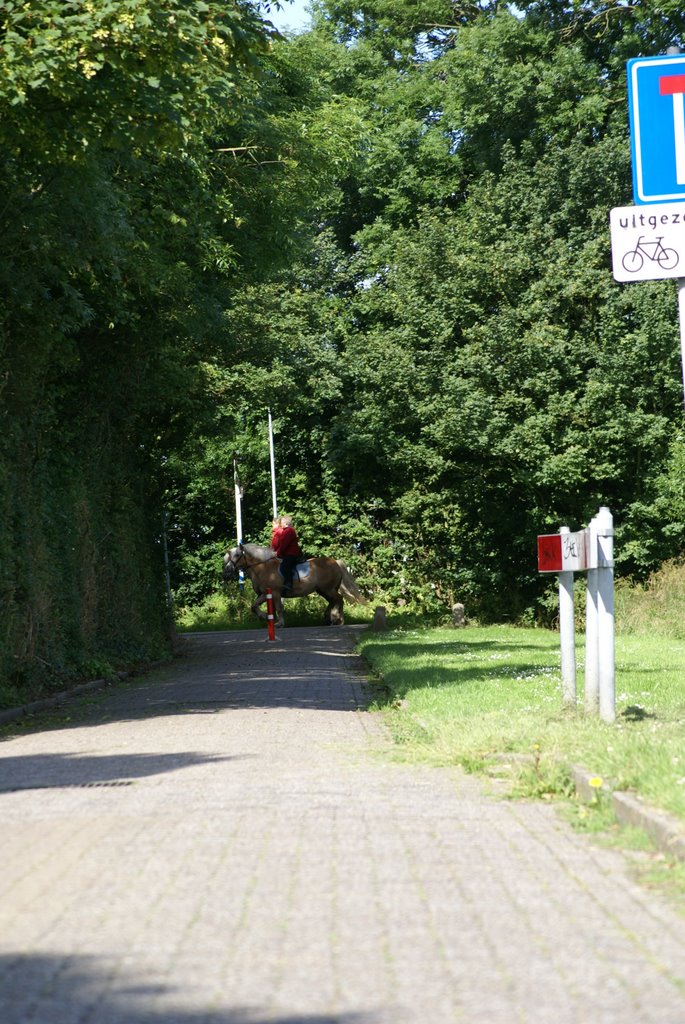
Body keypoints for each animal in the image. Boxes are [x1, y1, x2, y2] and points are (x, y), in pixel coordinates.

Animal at [222, 544, 366, 622]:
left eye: (237, 555)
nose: (226, 572)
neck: (262, 567)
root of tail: (335, 562)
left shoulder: (275, 592)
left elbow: (278, 607)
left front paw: (278, 623)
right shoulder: (264, 594)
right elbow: (254, 606)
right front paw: (265, 617)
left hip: (328, 589)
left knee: (339, 599)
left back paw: (337, 618)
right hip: (323, 590)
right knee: (334, 601)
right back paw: (330, 618)